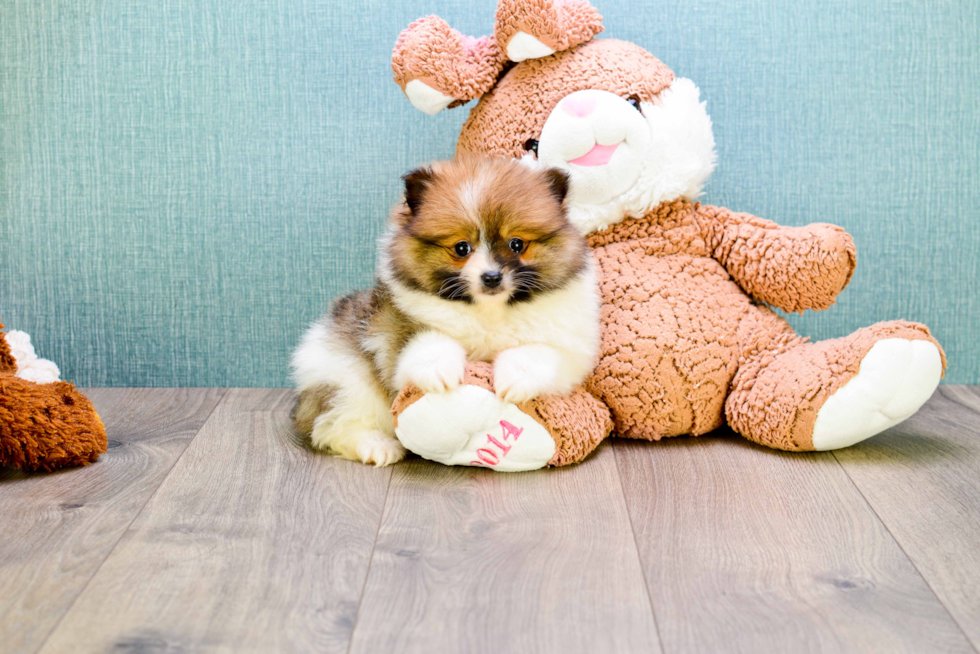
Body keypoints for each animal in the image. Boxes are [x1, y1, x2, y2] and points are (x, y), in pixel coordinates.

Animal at [290, 155, 596, 466]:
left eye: (517, 244)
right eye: (461, 248)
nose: (491, 277)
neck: (488, 312)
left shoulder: (570, 349)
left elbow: (538, 352)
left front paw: (515, 378)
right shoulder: (395, 329)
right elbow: (425, 343)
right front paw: (439, 371)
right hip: (344, 376)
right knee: (333, 425)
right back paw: (378, 446)